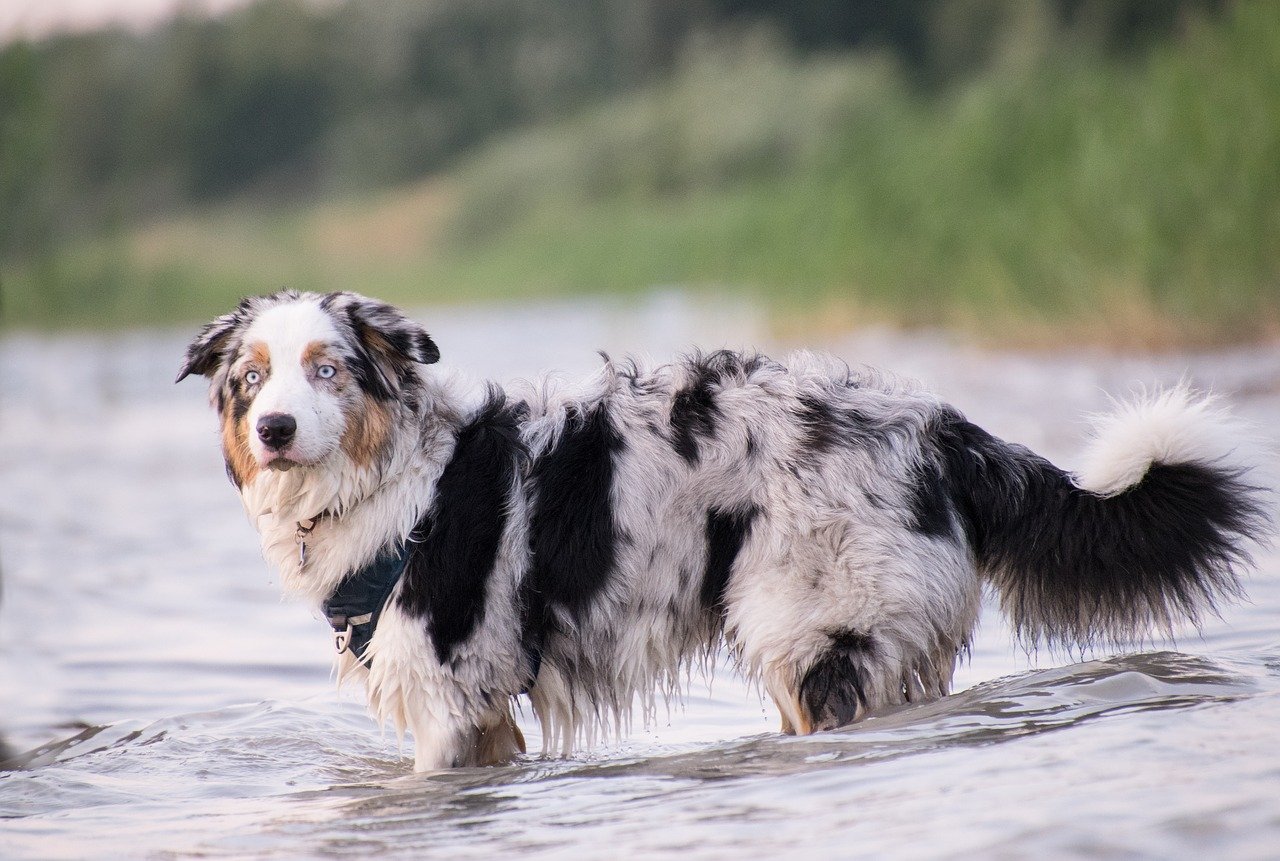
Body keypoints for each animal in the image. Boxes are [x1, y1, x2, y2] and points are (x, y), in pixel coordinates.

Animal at [175, 291, 1264, 767]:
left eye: (326, 369)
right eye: (251, 380)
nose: (274, 431)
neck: (400, 482)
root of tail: (937, 427)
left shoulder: (446, 698)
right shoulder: (482, 713)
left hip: (817, 638)